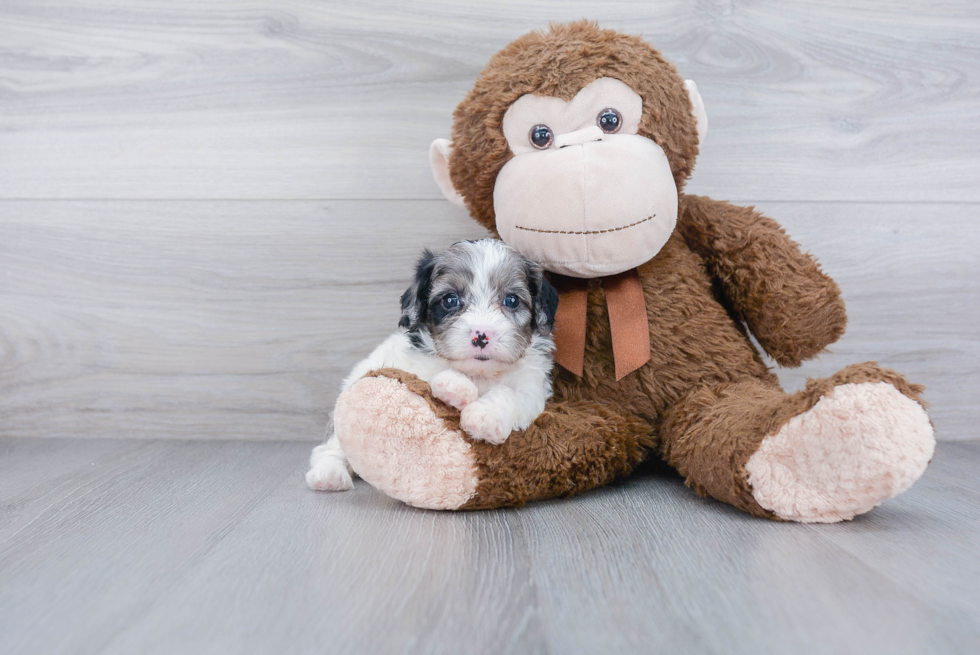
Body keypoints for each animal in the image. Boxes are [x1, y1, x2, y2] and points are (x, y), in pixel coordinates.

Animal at [306, 237, 560, 492]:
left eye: (512, 300)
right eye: (450, 300)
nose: (481, 336)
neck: (479, 373)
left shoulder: (532, 388)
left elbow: (508, 393)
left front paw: (485, 416)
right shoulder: (412, 368)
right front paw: (455, 387)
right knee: (329, 447)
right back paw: (329, 474)